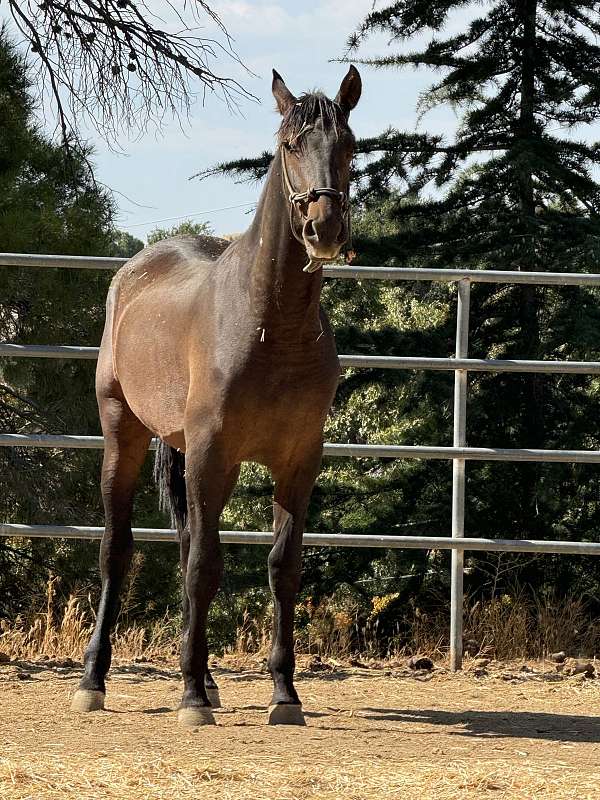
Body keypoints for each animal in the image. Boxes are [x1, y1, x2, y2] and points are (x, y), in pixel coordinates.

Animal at [70, 65, 360, 724]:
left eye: (349, 145)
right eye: (291, 144)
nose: (324, 228)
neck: (271, 324)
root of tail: (136, 268)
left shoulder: (298, 460)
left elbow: (282, 567)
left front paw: (284, 693)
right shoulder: (211, 452)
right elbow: (205, 565)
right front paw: (191, 700)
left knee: (183, 547)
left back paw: (203, 674)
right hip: (125, 433)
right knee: (118, 549)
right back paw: (95, 680)